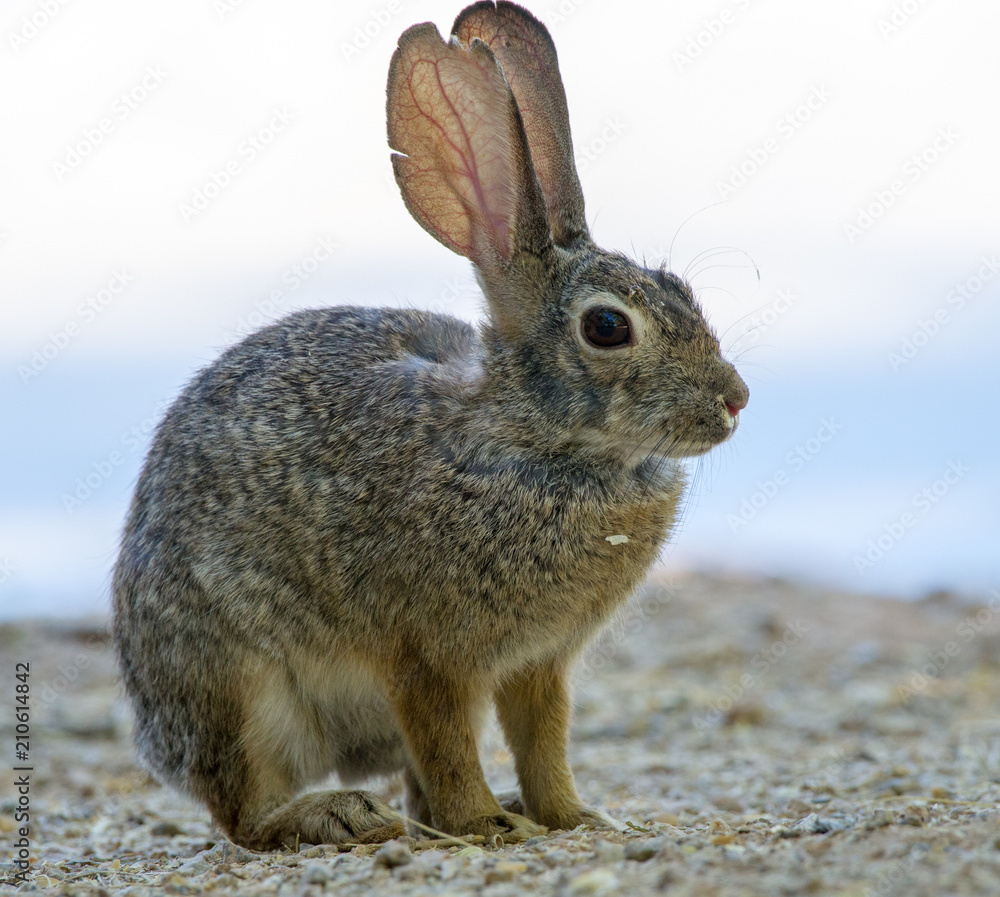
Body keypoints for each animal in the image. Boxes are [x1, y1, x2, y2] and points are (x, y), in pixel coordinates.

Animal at [112, 0, 749, 851]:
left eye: (677, 286)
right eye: (608, 327)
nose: (736, 399)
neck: (533, 439)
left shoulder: (537, 663)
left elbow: (543, 742)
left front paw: (571, 815)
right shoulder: (426, 657)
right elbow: (448, 744)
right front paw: (486, 825)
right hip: (239, 690)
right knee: (243, 810)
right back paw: (338, 814)